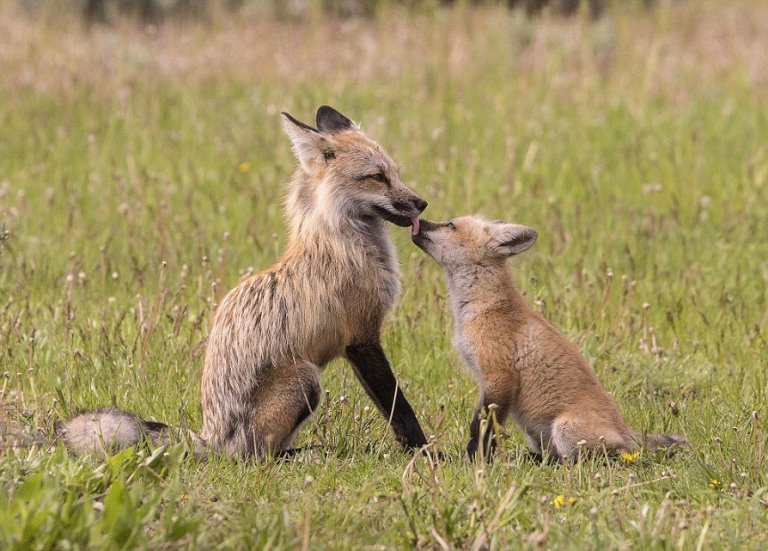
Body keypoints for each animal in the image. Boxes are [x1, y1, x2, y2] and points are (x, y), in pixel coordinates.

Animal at [58, 105, 432, 460]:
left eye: (395, 173)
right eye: (377, 177)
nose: (422, 203)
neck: (344, 243)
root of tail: (212, 440)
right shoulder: (361, 338)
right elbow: (400, 410)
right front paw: (427, 454)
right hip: (304, 380)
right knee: (255, 457)